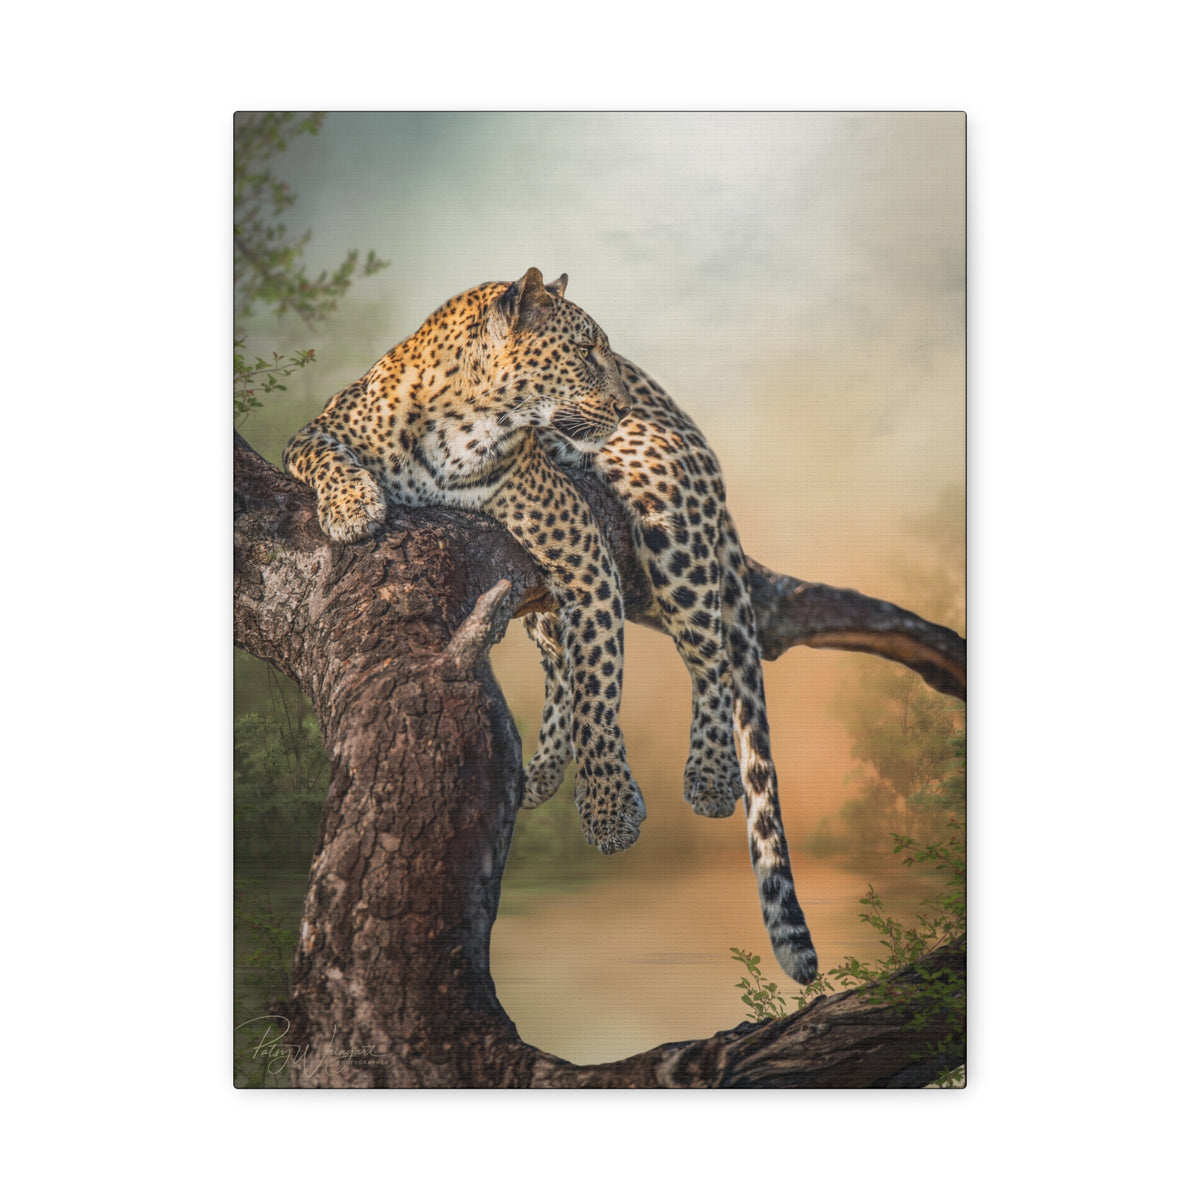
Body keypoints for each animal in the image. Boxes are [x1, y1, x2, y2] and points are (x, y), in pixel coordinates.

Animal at [283, 267, 817, 983]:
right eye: (586, 350)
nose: (623, 407)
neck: (460, 422)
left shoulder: (580, 546)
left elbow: (600, 686)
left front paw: (609, 809)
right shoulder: (315, 430)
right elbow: (327, 455)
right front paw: (353, 508)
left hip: (666, 512)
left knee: (709, 658)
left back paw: (708, 774)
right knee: (558, 658)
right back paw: (539, 772)